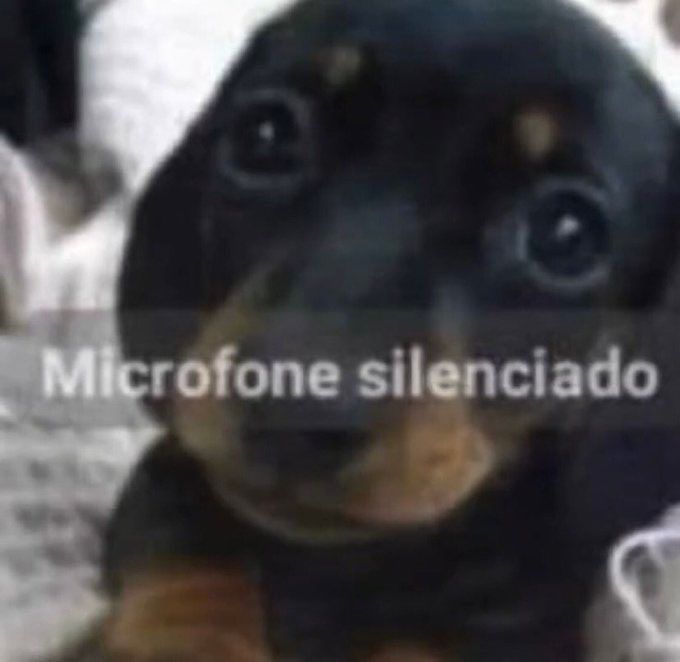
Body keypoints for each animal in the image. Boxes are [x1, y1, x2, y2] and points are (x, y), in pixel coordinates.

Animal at [103, 0, 680, 659]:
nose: (293, 409)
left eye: (566, 234)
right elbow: (193, 543)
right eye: (266, 137)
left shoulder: (522, 619)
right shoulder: (176, 471)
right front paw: (190, 642)